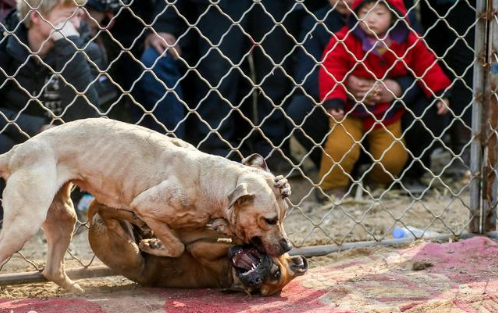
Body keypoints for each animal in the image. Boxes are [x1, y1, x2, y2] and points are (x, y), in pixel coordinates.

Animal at [89, 201, 308, 294]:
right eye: (276, 272)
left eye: (257, 290)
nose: (254, 280)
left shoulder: (200, 248)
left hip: (129, 253)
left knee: (105, 214)